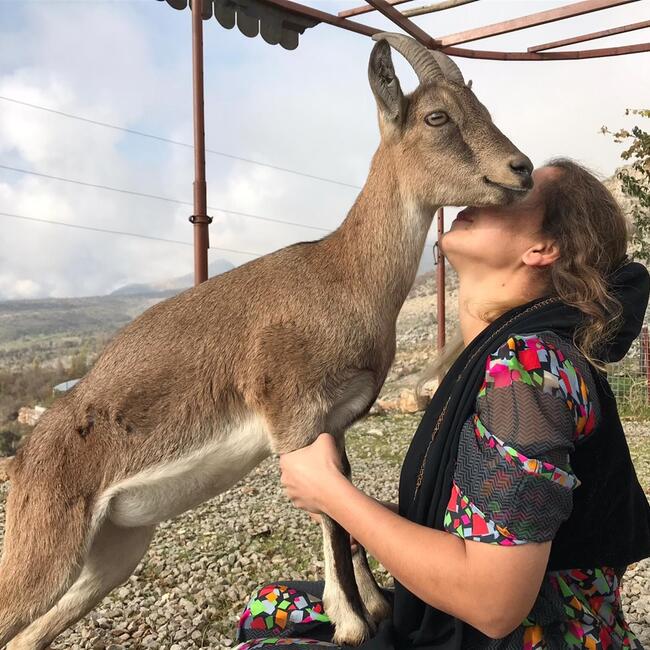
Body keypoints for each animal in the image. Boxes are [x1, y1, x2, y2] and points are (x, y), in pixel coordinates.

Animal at [0, 33, 532, 644]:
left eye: (482, 107)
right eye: (436, 116)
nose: (521, 169)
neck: (343, 276)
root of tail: (23, 461)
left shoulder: (334, 422)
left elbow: (344, 498)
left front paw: (370, 605)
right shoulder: (292, 413)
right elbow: (330, 512)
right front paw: (352, 622)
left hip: (111, 553)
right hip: (46, 554)